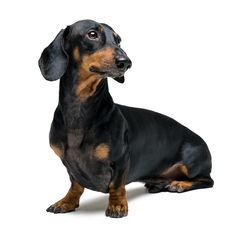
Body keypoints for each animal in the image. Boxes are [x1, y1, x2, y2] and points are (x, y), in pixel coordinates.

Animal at [38, 19, 214, 218]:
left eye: (118, 40)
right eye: (92, 34)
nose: (126, 62)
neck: (80, 109)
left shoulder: (121, 159)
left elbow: (116, 185)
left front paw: (117, 205)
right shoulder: (68, 164)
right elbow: (75, 184)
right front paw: (67, 202)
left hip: (192, 163)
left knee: (207, 181)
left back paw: (179, 184)